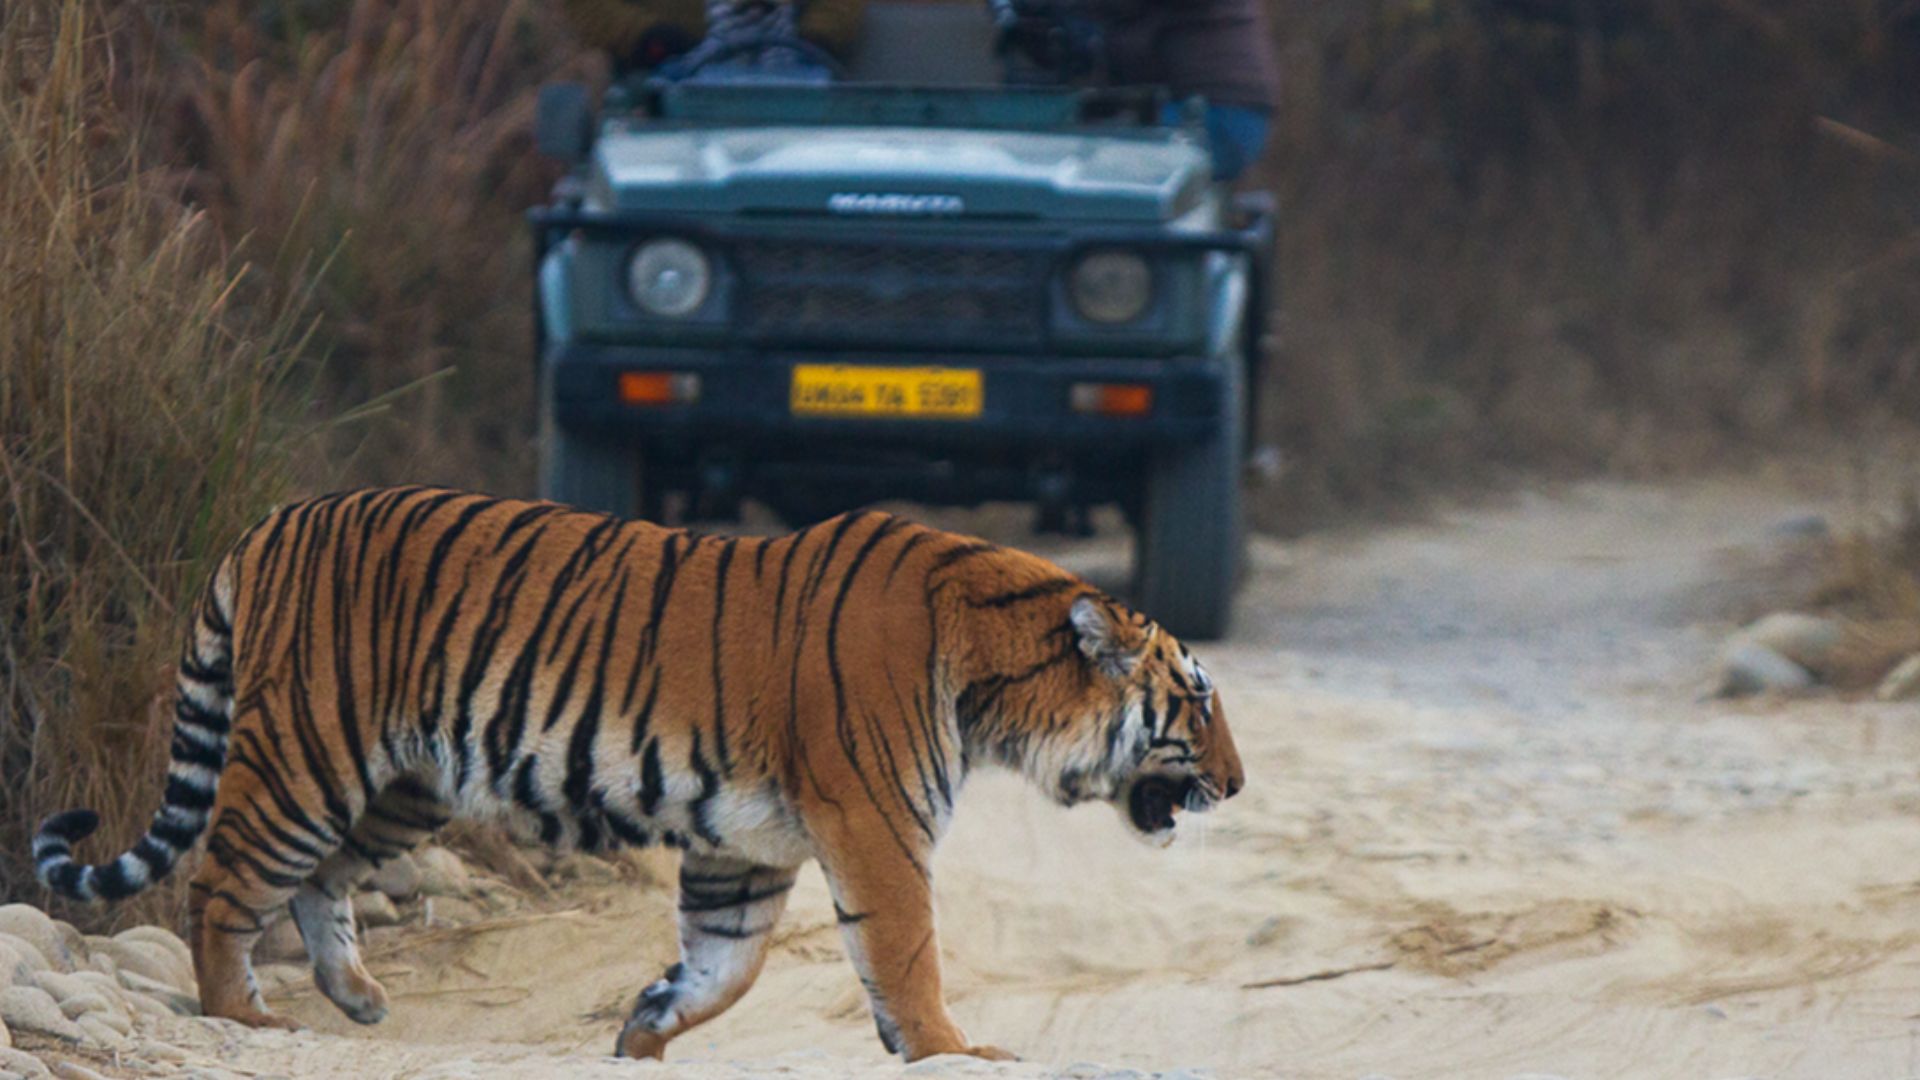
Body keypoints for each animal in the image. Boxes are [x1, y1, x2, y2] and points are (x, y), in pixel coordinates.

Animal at [32, 486, 1244, 1061]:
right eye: (1198, 700)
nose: (1235, 786)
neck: (995, 679)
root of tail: (272, 520)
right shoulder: (875, 825)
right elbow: (904, 953)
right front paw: (953, 1049)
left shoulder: (745, 848)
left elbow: (728, 967)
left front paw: (646, 1027)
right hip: (306, 753)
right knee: (223, 881)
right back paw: (245, 1014)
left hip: (404, 783)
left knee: (323, 879)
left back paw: (359, 996)